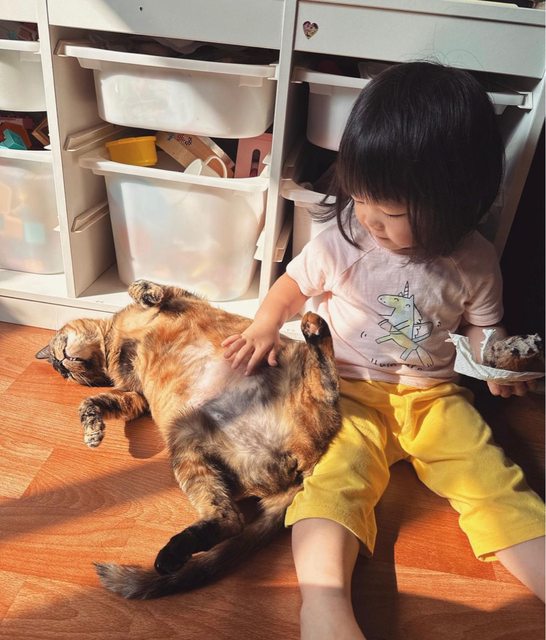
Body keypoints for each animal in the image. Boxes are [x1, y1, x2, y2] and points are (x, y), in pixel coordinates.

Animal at [36, 279, 340, 599]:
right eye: (62, 372)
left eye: (58, 353)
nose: (62, 364)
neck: (114, 344)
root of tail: (304, 463)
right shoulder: (136, 396)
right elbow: (93, 403)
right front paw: (93, 432)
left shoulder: (181, 296)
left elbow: (148, 289)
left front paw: (145, 292)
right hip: (186, 443)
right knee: (230, 519)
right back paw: (170, 556)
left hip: (290, 359)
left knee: (328, 383)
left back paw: (314, 326)